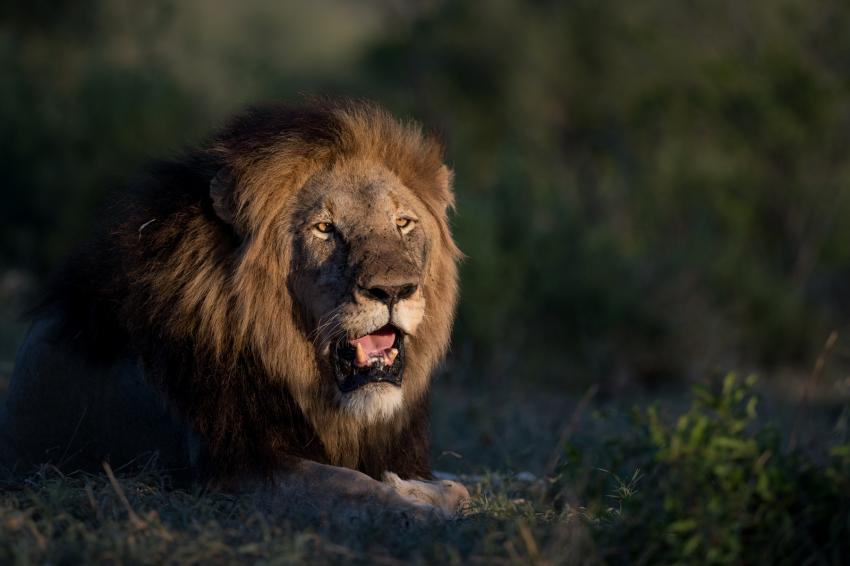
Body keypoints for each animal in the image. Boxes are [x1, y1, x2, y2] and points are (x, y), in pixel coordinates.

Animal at [0, 98, 468, 524]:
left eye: (403, 223)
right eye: (324, 228)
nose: (393, 290)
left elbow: (457, 485)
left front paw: (425, 488)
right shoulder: (232, 470)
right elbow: (349, 484)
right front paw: (414, 504)